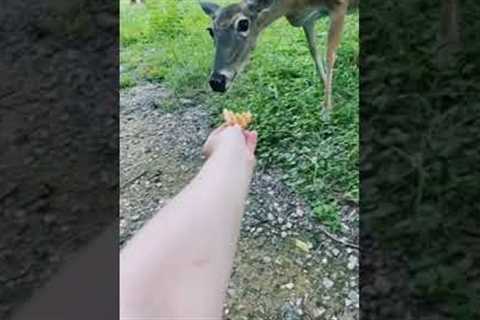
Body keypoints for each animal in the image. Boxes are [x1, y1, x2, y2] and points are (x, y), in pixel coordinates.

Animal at [198, 0, 356, 109]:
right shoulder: (308, 19)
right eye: (210, 31)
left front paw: (327, 109)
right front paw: (327, 90)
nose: (217, 82)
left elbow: (330, 56)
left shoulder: (339, 5)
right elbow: (314, 52)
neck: (293, 6)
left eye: (243, 24)